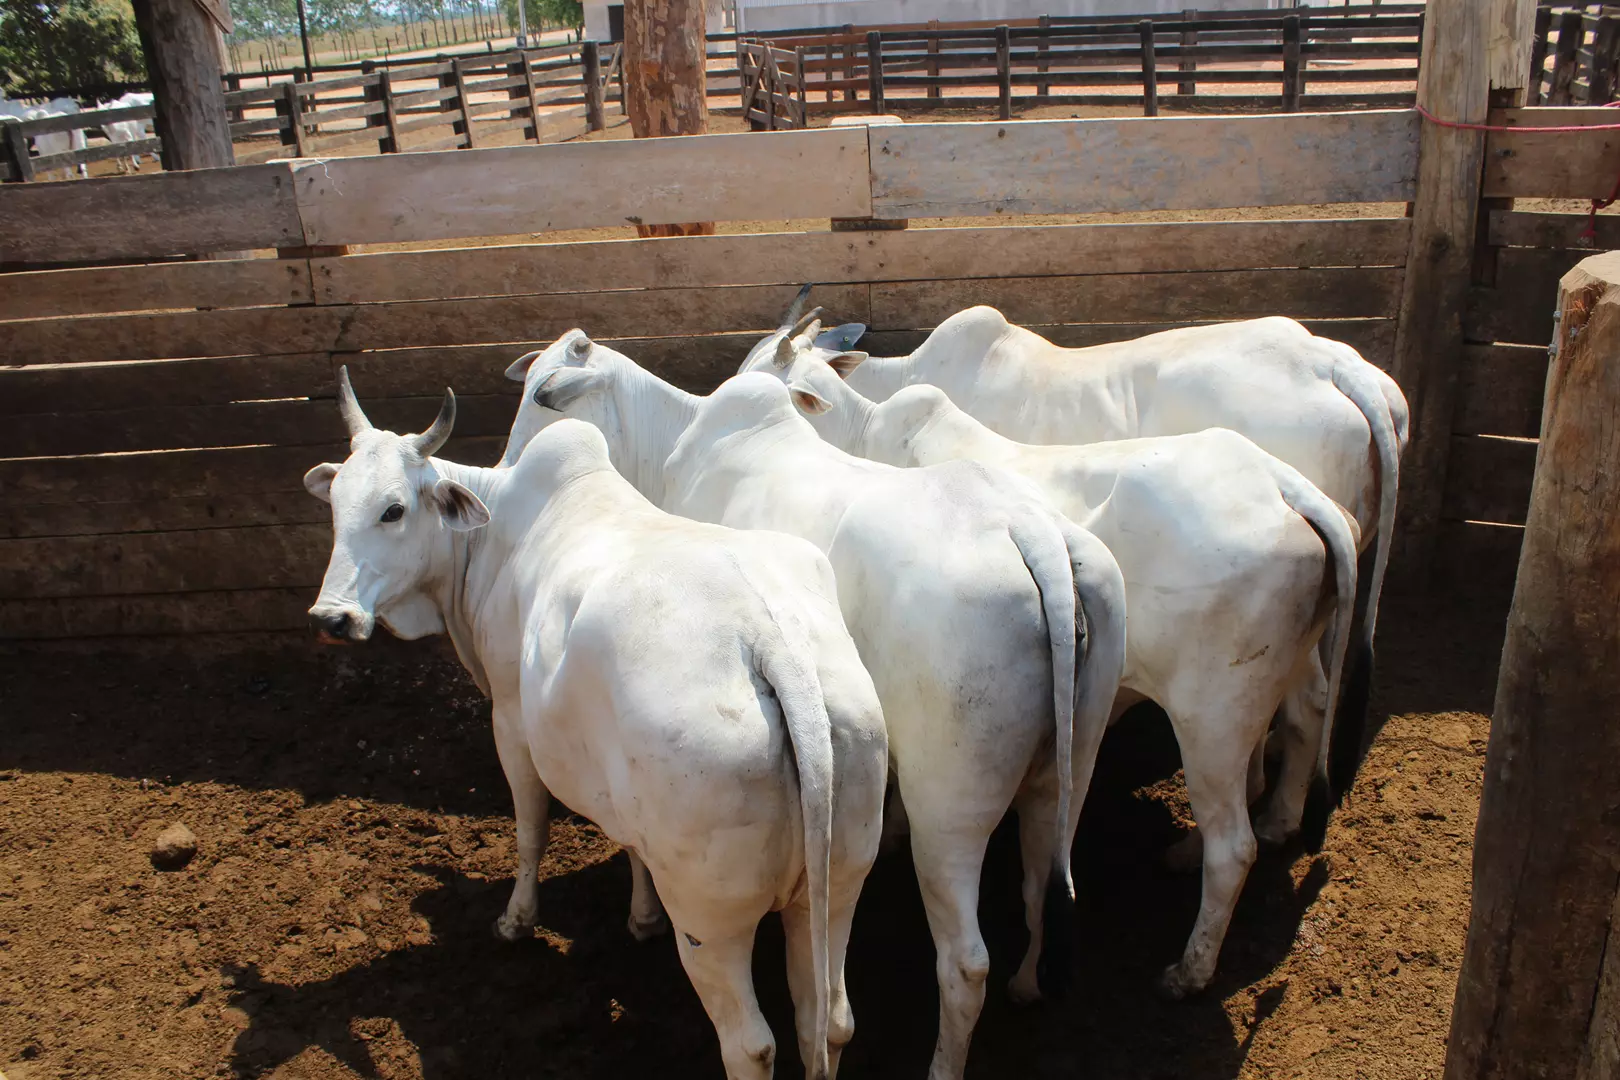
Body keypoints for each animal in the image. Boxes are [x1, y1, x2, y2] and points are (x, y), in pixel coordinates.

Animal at [502, 335, 1127, 1080]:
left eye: (541, 396)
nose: (504, 470)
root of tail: (1031, 533)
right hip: (1069, 766)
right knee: (1044, 886)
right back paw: (1030, 984)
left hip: (951, 801)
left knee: (964, 962)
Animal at [751, 341, 1360, 1003]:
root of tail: (1285, 486)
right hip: (1272, 677)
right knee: (1301, 722)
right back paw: (1251, 830)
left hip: (1212, 716)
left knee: (1234, 845)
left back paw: (1189, 968)